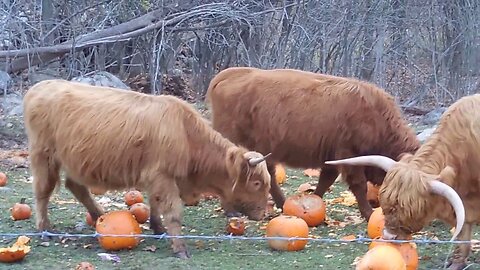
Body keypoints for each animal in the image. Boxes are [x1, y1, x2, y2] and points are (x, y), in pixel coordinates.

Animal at [22, 79, 272, 260]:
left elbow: (155, 203)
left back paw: (100, 215)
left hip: (74, 161)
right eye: (256, 183)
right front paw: (180, 248)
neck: (187, 135)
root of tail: (40, 86)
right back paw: (45, 229)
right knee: (43, 191)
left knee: (75, 186)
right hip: (44, 156)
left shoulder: (157, 178)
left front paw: (158, 228)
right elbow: (172, 212)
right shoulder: (163, 176)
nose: (263, 215)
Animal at [206, 67, 420, 219]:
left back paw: (282, 204)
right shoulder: (349, 155)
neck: (375, 117)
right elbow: (359, 185)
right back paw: (232, 211)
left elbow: (324, 182)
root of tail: (227, 75)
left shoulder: (332, 159)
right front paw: (368, 213)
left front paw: (313, 203)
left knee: (270, 175)